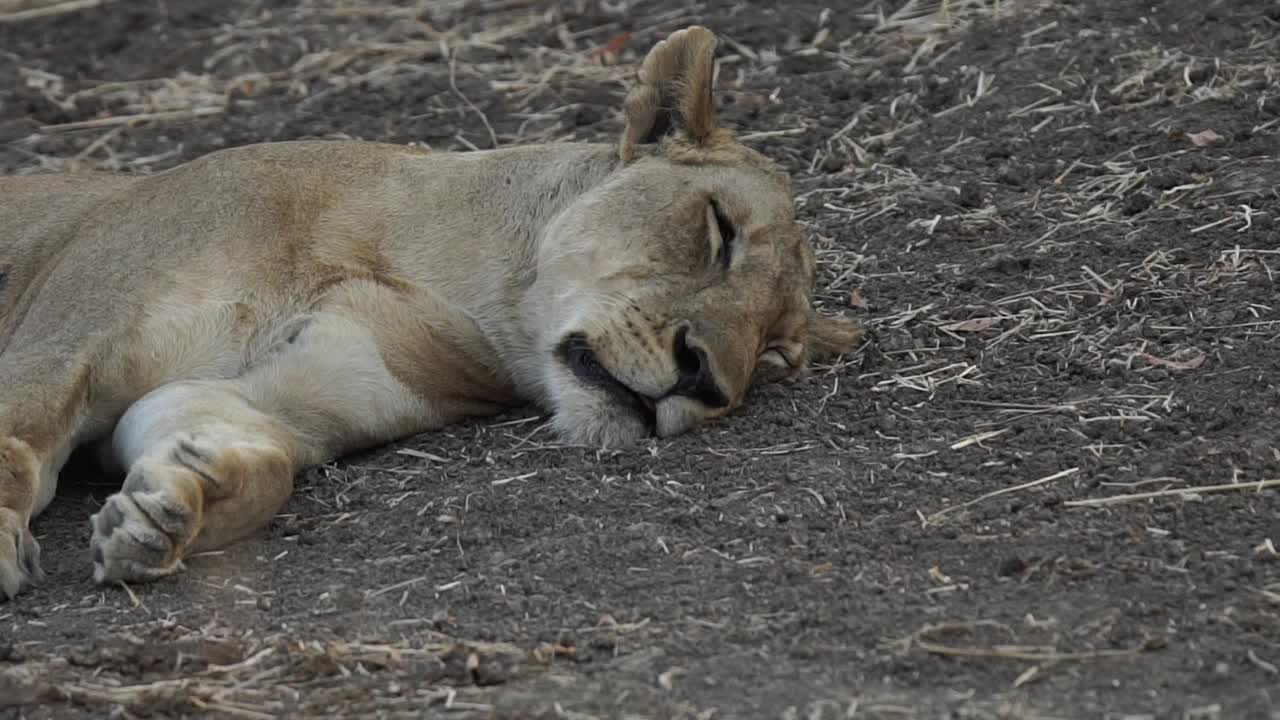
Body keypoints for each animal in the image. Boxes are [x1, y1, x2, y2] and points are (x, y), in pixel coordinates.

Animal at [2, 28, 860, 597]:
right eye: (719, 231)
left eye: (775, 354)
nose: (705, 380)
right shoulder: (66, 347)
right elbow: (16, 441)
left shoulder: (262, 398)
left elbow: (260, 459)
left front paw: (175, 506)